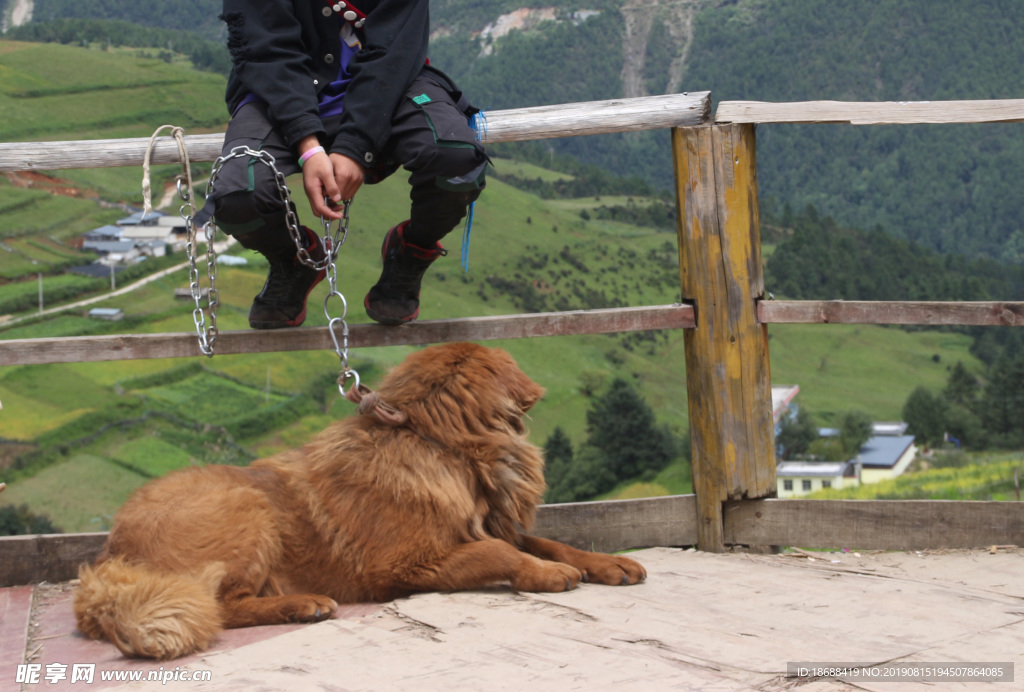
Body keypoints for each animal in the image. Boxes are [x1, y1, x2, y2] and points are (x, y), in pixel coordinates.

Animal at [74, 343, 647, 655]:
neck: (434, 442)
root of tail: (108, 560)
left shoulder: (477, 527)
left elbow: (546, 541)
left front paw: (607, 562)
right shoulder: (405, 565)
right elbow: (503, 551)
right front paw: (543, 574)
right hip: (245, 508)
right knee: (223, 606)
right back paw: (301, 605)